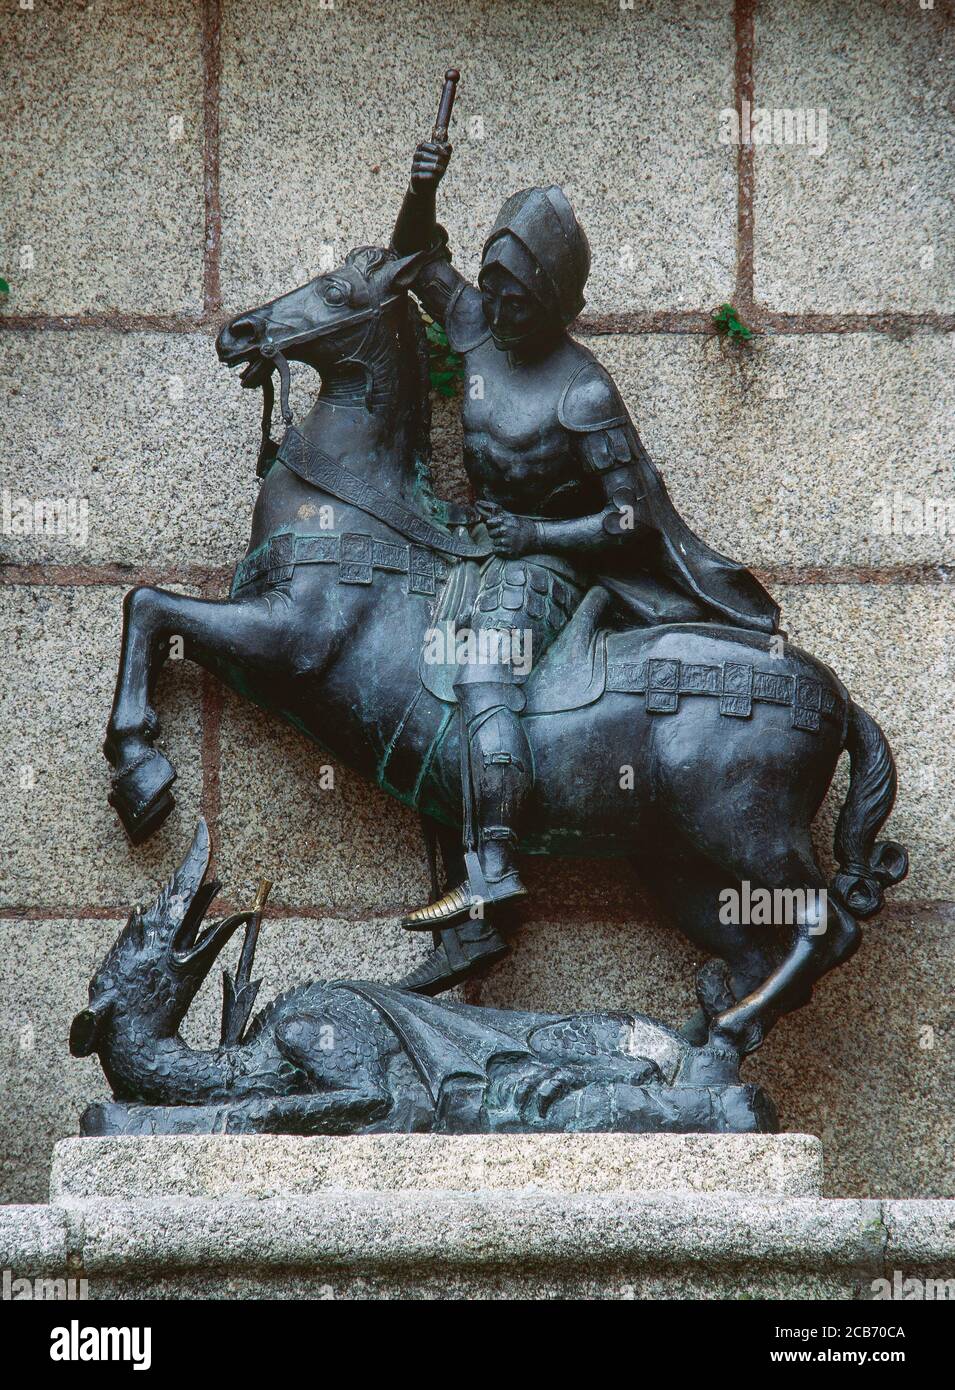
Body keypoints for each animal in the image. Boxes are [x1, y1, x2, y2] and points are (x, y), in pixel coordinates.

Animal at [100, 244, 906, 1056]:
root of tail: (838, 700)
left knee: (825, 923)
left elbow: (150, 606)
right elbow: (149, 607)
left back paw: (720, 1029)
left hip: (743, 831)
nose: (238, 331)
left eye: (335, 291)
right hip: (681, 865)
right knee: (749, 947)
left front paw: (141, 775)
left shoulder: (284, 642)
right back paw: (684, 1038)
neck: (357, 515)